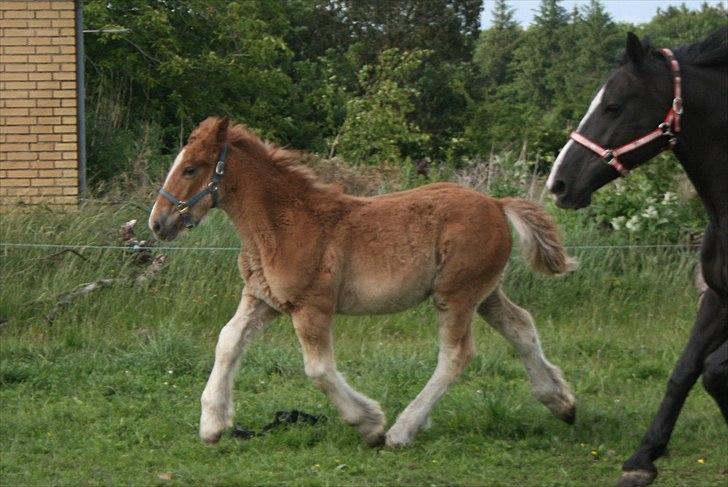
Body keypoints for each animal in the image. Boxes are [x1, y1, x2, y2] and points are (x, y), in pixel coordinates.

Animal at [149, 116, 576, 448]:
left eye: (191, 169)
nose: (157, 222)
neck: (284, 224)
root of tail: (498, 204)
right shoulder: (263, 299)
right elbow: (227, 341)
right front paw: (212, 425)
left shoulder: (311, 307)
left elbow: (319, 370)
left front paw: (370, 425)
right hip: (483, 293)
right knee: (520, 326)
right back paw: (562, 403)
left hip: (456, 295)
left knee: (456, 355)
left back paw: (402, 432)